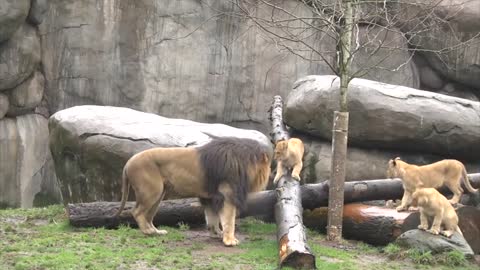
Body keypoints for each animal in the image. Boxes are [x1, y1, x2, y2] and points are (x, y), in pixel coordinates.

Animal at [115, 137, 272, 247]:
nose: (271, 174)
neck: (243, 163)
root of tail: (127, 163)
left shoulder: (210, 197)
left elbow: (213, 218)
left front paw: (216, 233)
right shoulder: (226, 195)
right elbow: (229, 220)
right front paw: (230, 240)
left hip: (158, 194)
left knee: (148, 216)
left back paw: (156, 232)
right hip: (151, 191)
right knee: (137, 212)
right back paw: (147, 232)